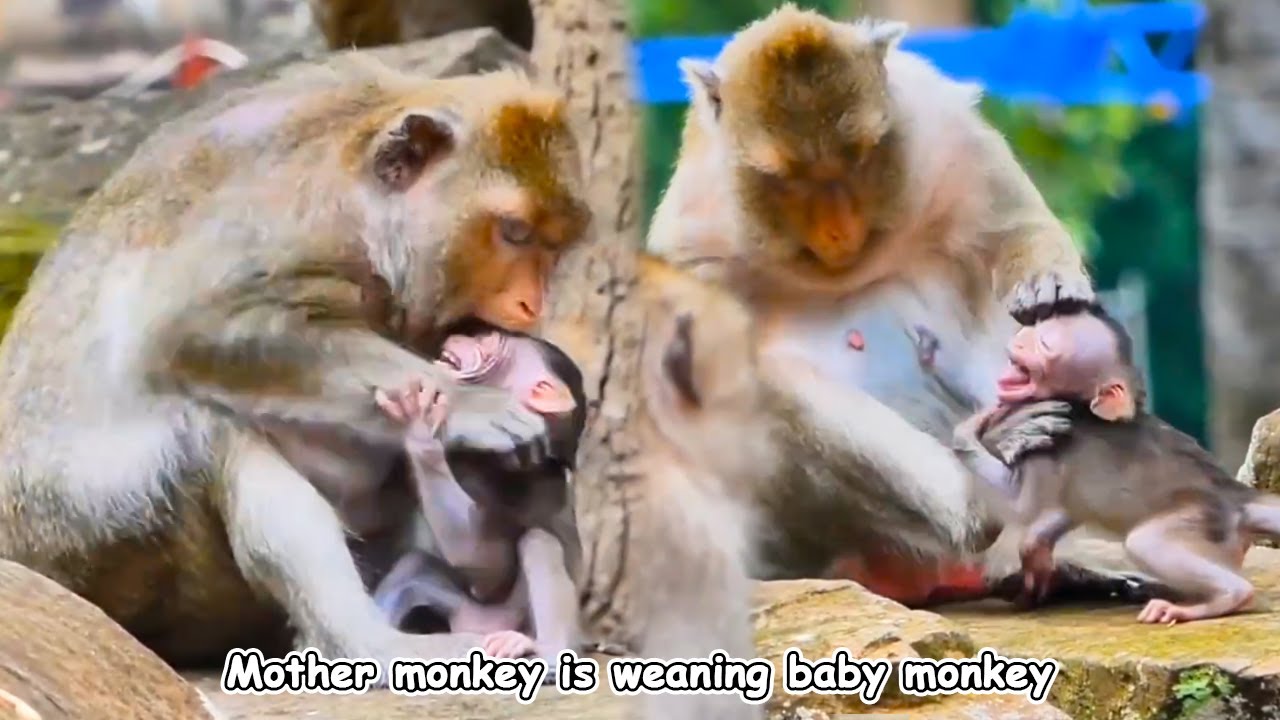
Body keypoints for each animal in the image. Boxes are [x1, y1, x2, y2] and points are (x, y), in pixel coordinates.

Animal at [368, 320, 586, 668]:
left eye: (489, 341)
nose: (460, 334)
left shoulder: (518, 476)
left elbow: (489, 567)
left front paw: (420, 428)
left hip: (510, 619)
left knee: (539, 542)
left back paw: (546, 651)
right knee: (414, 568)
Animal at [643, 4, 1142, 607]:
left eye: (857, 155)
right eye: (787, 179)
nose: (838, 231)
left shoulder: (943, 129)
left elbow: (1011, 229)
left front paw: (1047, 281)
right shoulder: (693, 234)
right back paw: (978, 493)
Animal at [941, 307, 1280, 623]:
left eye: (1045, 342)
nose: (1022, 340)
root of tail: (1235, 497)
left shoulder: (1048, 445)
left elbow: (1023, 506)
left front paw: (973, 428)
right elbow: (1060, 513)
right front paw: (1034, 555)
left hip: (1199, 515)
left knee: (1146, 543)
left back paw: (1222, 597)